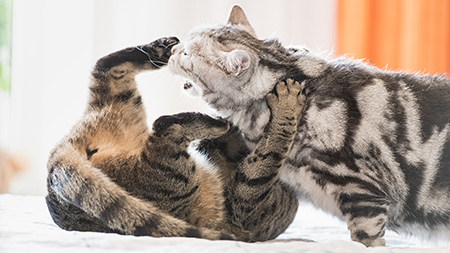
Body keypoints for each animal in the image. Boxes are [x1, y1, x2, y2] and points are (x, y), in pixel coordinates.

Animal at [45, 36, 306, 241]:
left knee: (108, 66)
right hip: (175, 177)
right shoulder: (246, 201)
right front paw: (287, 104)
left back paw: (159, 50)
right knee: (166, 127)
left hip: (121, 104)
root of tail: (55, 164)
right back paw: (212, 123)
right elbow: (271, 150)